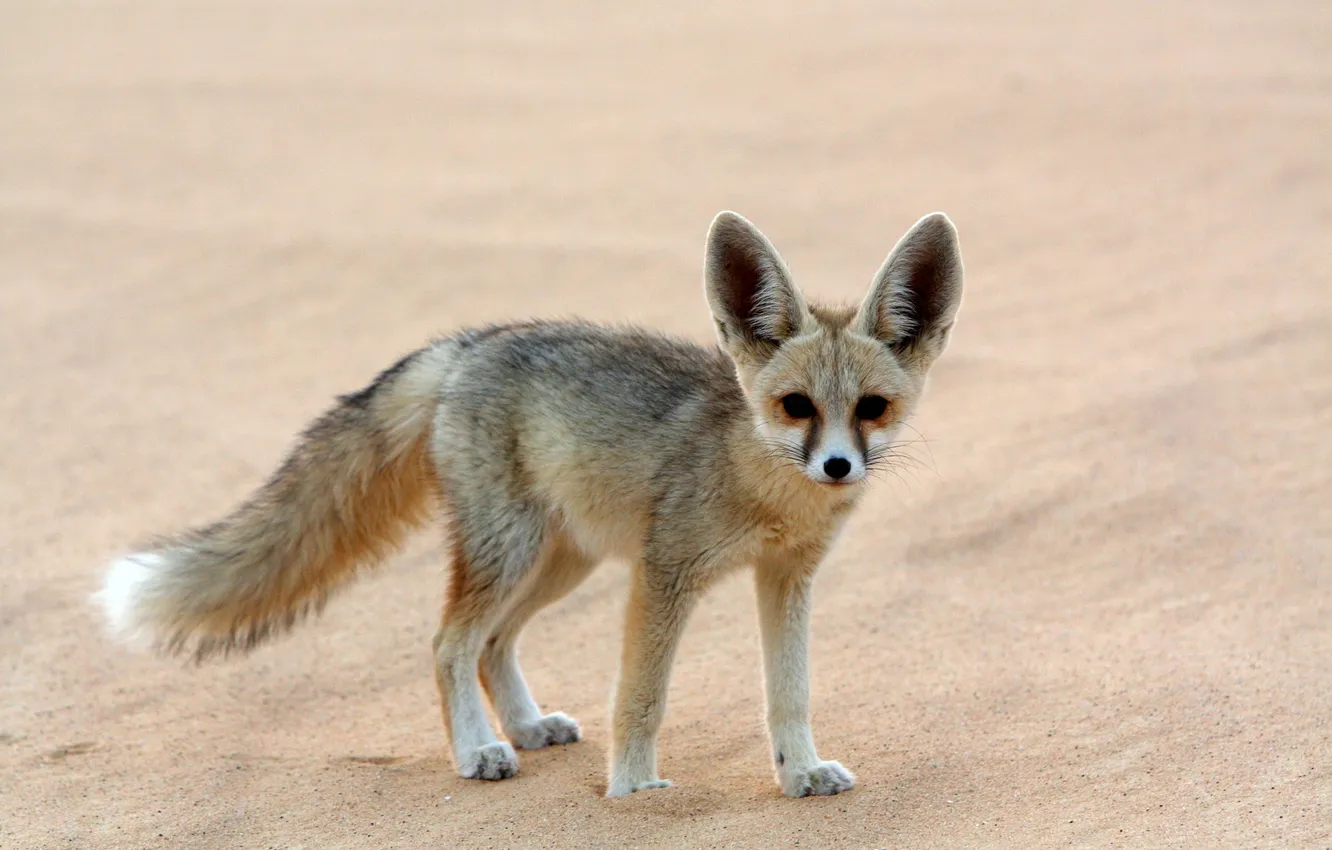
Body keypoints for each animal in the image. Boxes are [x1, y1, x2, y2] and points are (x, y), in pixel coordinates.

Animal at [96, 210, 964, 797]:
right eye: (795, 408)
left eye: (872, 409)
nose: (838, 466)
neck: (762, 485)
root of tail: (472, 341)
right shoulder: (665, 574)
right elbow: (641, 697)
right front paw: (635, 792)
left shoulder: (786, 579)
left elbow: (791, 694)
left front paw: (799, 774)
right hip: (513, 552)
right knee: (449, 643)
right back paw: (479, 751)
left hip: (562, 563)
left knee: (491, 645)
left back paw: (522, 726)